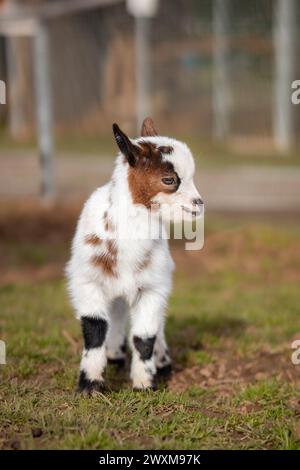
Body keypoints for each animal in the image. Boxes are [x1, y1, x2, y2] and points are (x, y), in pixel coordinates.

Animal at [66, 118, 203, 392]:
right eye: (169, 179)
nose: (198, 204)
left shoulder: (153, 287)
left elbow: (144, 336)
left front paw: (144, 384)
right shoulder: (88, 281)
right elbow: (94, 328)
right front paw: (90, 385)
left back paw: (161, 362)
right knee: (116, 314)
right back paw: (114, 356)